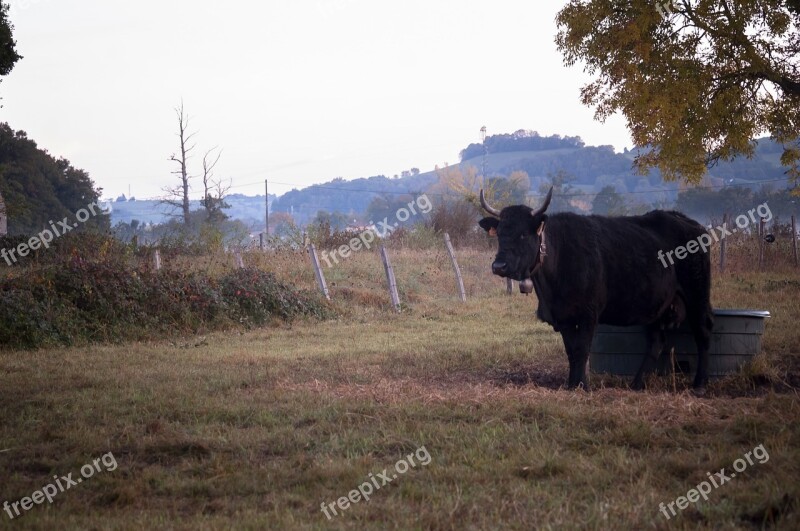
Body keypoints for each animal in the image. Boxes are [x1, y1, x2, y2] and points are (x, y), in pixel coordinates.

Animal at [478, 190, 716, 390]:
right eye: (499, 234)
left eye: (523, 234)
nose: (498, 266)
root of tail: (691, 223)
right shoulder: (563, 317)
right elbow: (571, 351)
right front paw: (571, 384)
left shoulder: (588, 314)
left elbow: (582, 349)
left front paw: (582, 385)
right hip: (658, 305)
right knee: (656, 342)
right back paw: (637, 384)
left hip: (697, 294)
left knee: (703, 332)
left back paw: (700, 384)